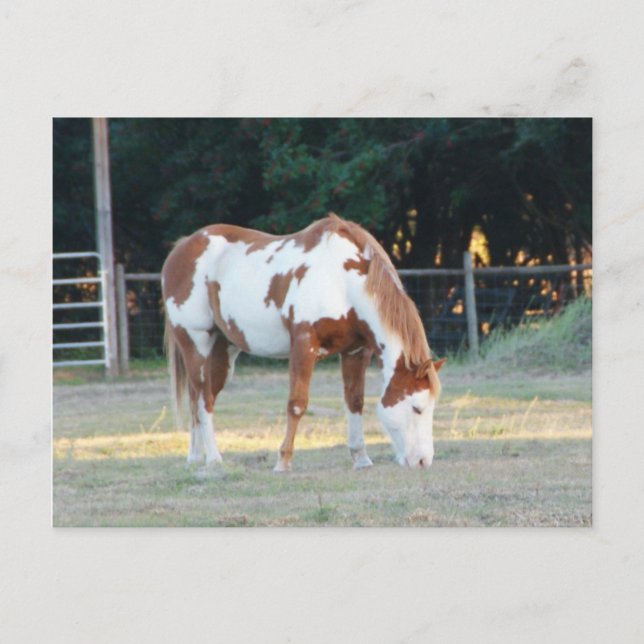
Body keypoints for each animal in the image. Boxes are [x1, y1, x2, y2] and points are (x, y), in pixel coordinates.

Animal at [162, 213, 445, 471]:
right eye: (417, 408)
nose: (423, 461)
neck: (341, 281)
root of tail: (182, 249)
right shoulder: (304, 346)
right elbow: (297, 405)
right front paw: (283, 461)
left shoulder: (355, 351)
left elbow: (354, 401)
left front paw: (361, 458)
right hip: (195, 341)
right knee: (204, 399)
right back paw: (213, 458)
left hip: (222, 351)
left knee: (197, 398)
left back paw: (195, 457)